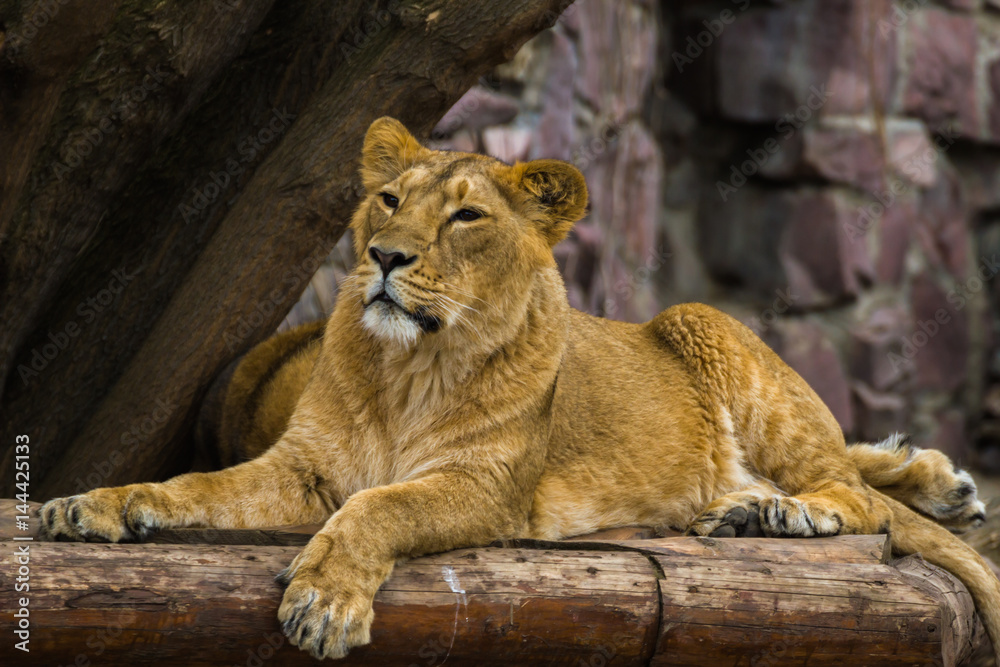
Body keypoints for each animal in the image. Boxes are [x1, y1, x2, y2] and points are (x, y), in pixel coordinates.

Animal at [41, 116, 1000, 661]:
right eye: (388, 199)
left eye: (466, 215)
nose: (385, 256)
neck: (409, 368)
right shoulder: (303, 469)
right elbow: (193, 484)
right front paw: (95, 505)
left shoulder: (485, 489)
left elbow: (377, 507)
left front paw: (323, 600)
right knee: (850, 470)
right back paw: (884, 490)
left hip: (701, 322)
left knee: (849, 492)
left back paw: (788, 511)